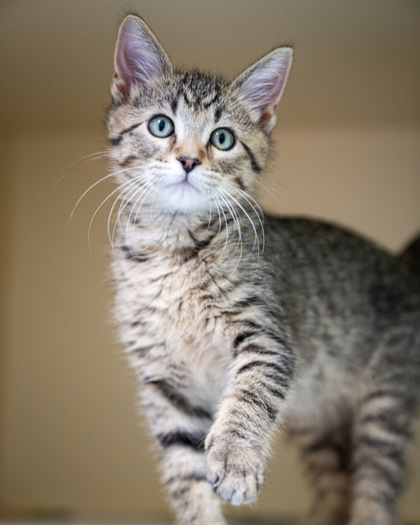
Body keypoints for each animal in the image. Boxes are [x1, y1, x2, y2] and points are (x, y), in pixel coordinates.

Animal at [104, 14, 420, 524]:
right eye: (160, 125)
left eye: (222, 138)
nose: (188, 160)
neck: (173, 247)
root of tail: (399, 264)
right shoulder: (164, 382)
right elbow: (184, 474)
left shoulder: (266, 335)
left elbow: (249, 395)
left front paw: (235, 460)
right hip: (315, 417)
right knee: (336, 479)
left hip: (385, 398)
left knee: (377, 479)